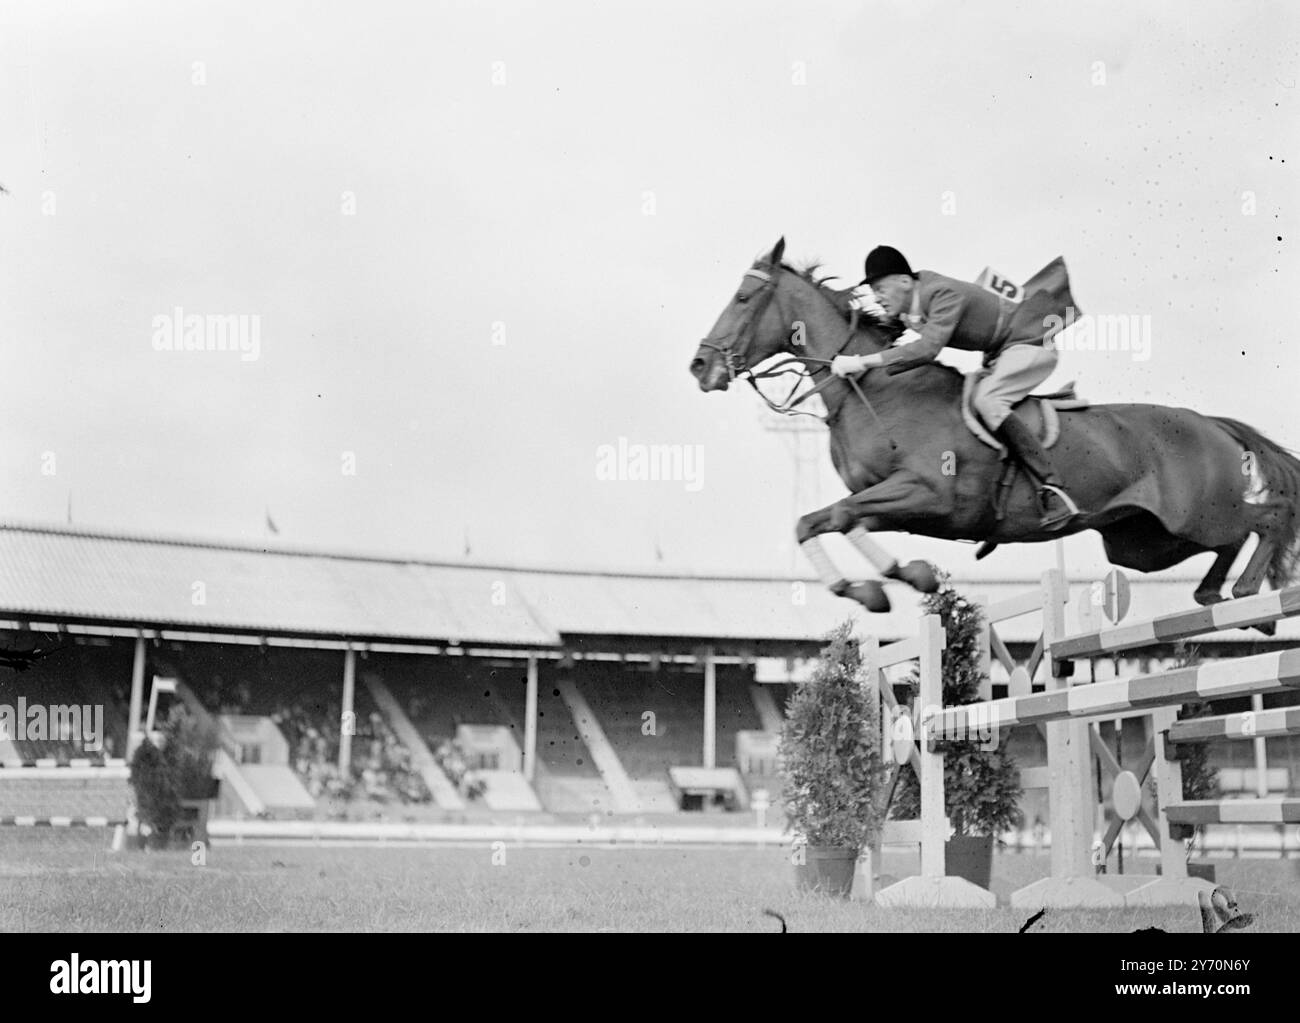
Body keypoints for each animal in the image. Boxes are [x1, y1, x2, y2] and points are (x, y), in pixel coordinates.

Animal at [689, 238, 1300, 614]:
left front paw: (901, 580)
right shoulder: (891, 502)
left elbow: (839, 517)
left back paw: (1248, 594)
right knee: (1228, 540)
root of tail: (1209, 422)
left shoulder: (928, 494)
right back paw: (1214, 594)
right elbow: (819, 521)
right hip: (1146, 542)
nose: (699, 366)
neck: (878, 392)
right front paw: (871, 588)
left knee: (1264, 519)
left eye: (743, 297)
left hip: (1195, 513)